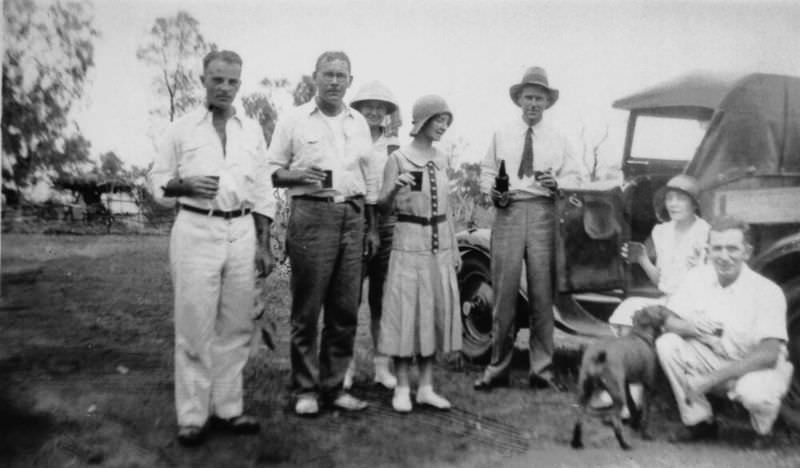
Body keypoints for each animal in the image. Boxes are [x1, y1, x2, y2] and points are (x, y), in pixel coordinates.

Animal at [568, 304, 668, 450]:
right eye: (659, 309)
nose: (666, 308)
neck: (640, 335)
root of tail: (598, 357)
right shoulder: (648, 386)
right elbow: (646, 413)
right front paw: (644, 433)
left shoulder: (625, 384)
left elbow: (632, 406)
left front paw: (634, 423)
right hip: (617, 395)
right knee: (615, 420)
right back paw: (624, 444)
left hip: (585, 391)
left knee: (578, 417)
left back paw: (576, 442)